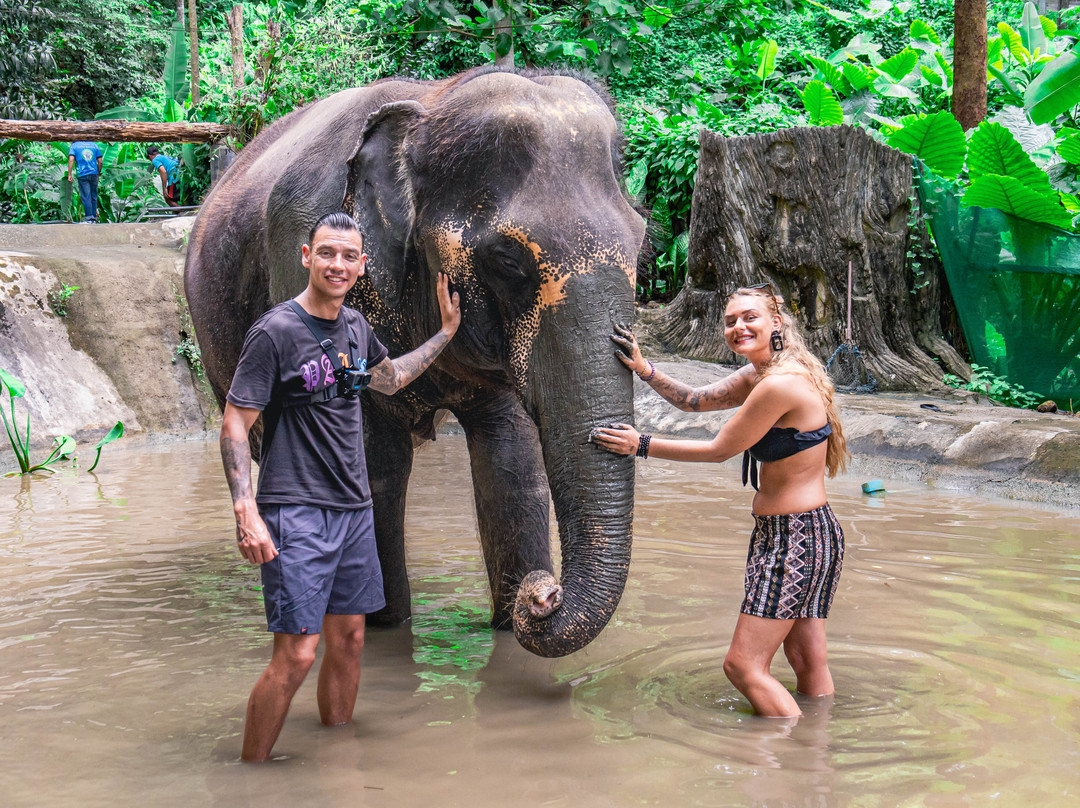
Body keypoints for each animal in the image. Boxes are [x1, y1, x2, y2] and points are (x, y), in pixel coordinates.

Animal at [185, 66, 646, 657]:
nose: (544, 595)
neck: (433, 104)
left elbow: (512, 460)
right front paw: (381, 624)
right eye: (507, 260)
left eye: (641, 242)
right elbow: (374, 463)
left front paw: (509, 619)